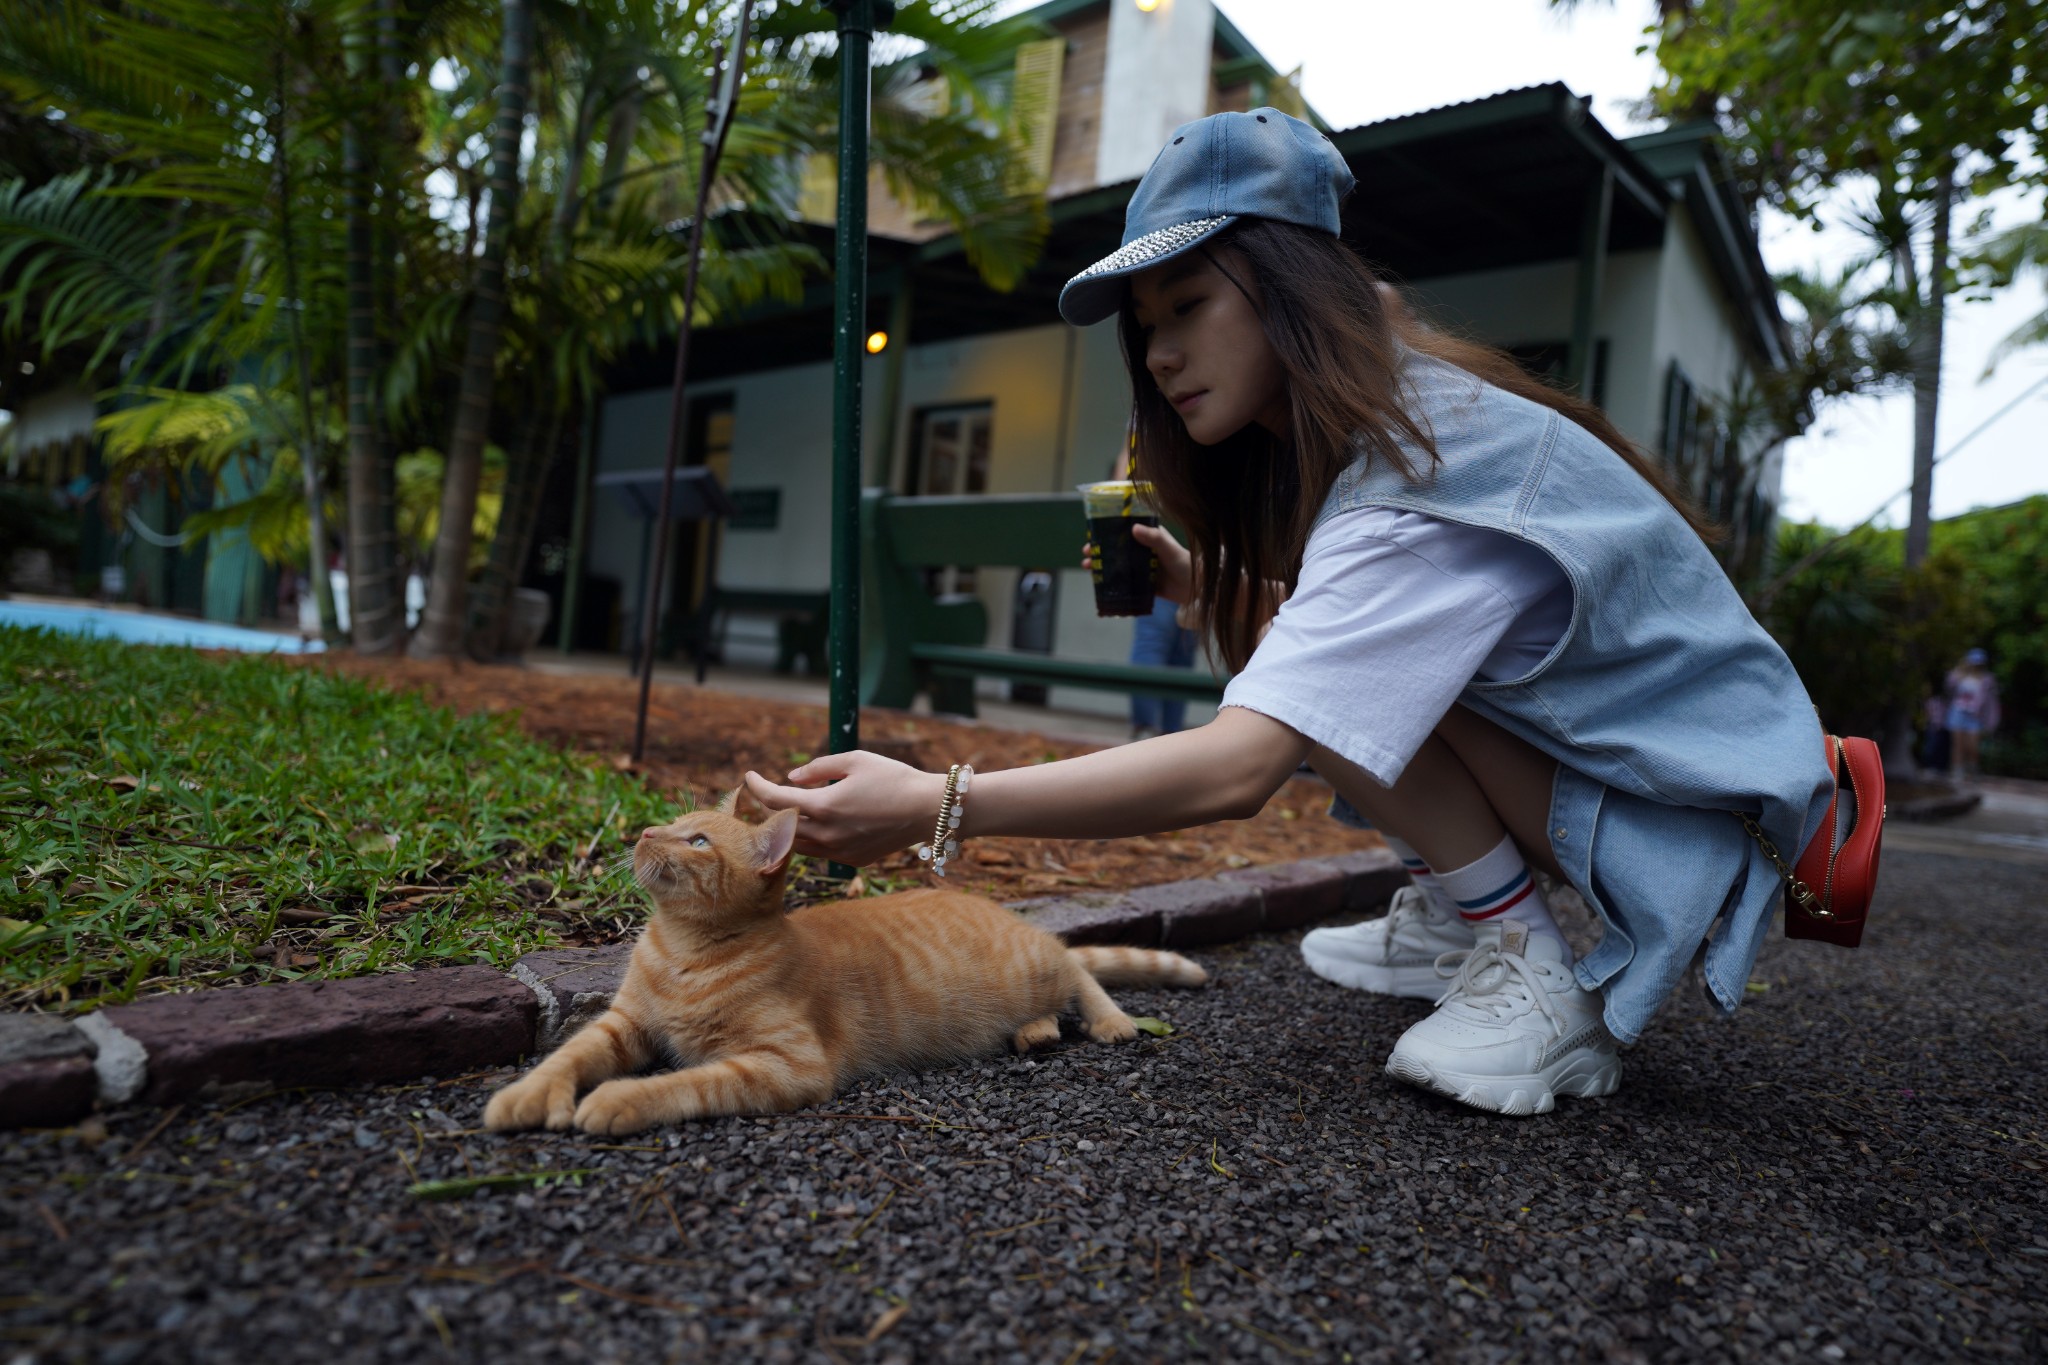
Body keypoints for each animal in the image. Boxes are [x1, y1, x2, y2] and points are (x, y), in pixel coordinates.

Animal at [487, 806, 1204, 1137]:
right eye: (671, 821)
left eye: (697, 841)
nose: (641, 832)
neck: (682, 950)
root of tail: (997, 908)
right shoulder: (624, 1023)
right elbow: (568, 1055)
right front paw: (528, 1095)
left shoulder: (787, 1064)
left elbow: (684, 1083)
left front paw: (615, 1100)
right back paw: (1036, 1031)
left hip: (1038, 962)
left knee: (1079, 968)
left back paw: (1108, 1021)